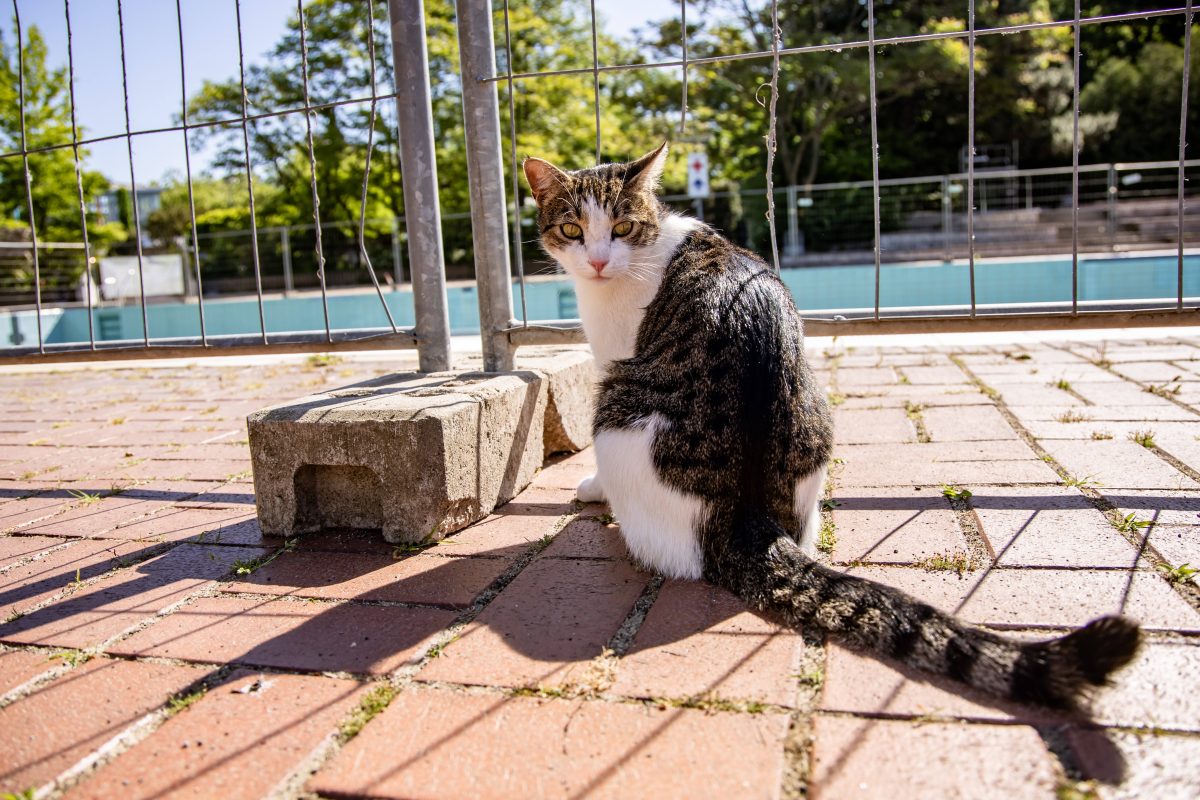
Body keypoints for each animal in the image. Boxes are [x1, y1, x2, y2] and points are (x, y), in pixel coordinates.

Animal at [525, 142, 1142, 705]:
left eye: (622, 226)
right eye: (573, 227)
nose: (598, 260)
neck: (644, 253)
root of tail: (747, 518)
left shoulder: (610, 354)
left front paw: (589, 487)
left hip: (616, 407)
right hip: (816, 406)